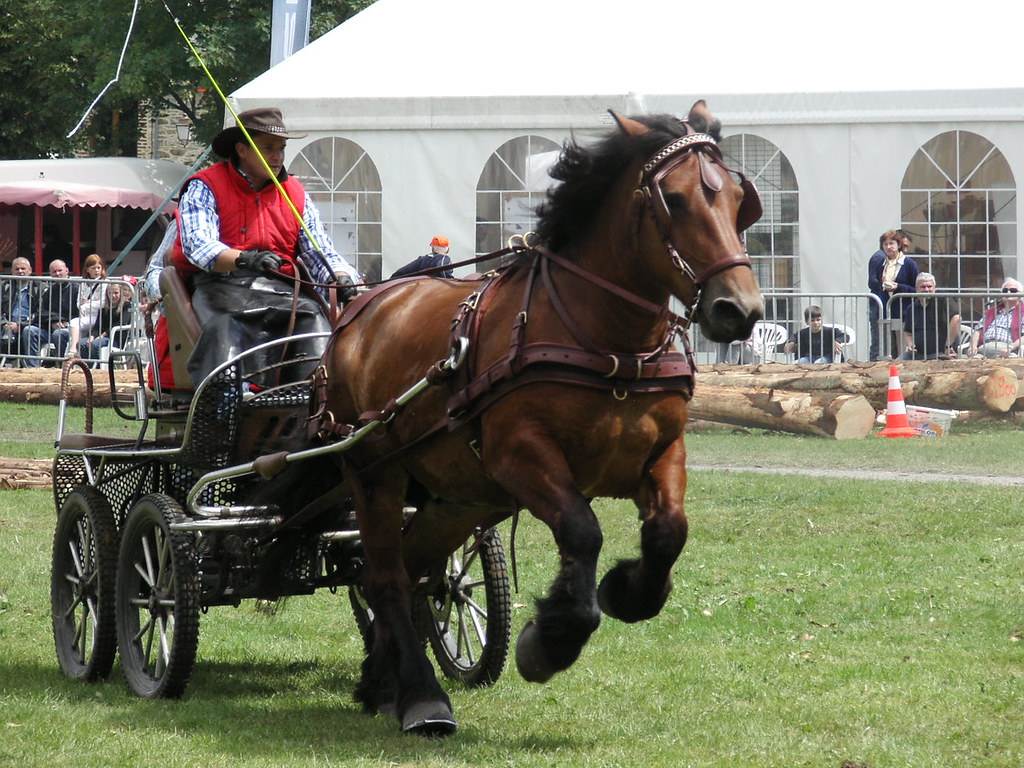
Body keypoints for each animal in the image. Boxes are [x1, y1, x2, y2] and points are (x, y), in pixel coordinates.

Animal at [319, 100, 764, 735]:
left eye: (738, 197)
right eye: (674, 200)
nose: (739, 308)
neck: (608, 341)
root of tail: (360, 307)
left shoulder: (664, 452)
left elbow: (668, 532)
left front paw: (625, 591)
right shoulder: (521, 456)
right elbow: (582, 529)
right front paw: (550, 640)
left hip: (459, 497)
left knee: (413, 569)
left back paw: (382, 681)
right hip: (375, 472)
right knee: (384, 577)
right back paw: (423, 695)